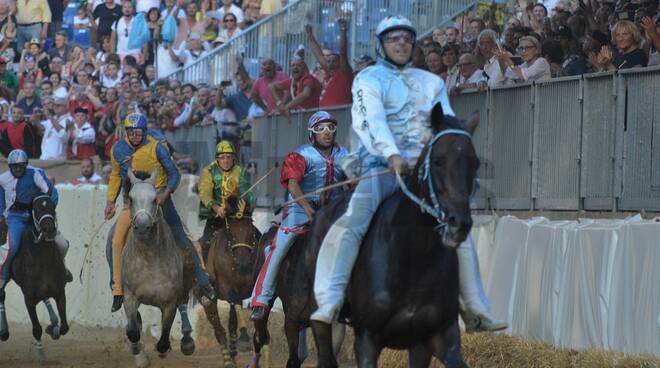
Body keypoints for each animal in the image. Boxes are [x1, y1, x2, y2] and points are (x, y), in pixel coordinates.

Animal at [0, 196, 68, 362]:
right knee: (1, 294)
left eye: (52, 207)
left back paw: (53, 320)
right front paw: (41, 354)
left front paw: (52, 328)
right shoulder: (29, 299)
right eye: (36, 209)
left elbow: (64, 327)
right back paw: (4, 331)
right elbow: (36, 328)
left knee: (45, 299)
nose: (49, 230)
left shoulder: (60, 292)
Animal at [120, 171, 195, 366]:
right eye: (131, 198)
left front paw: (163, 349)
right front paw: (139, 353)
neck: (149, 260)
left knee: (184, 306)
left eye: (155, 199)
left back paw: (187, 342)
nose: (142, 226)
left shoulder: (169, 303)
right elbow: (133, 331)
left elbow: (163, 339)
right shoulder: (129, 295)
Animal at [201, 213, 262, 368]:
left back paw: (233, 353)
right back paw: (228, 359)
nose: (243, 264)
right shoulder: (226, 289)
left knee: (231, 325)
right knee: (219, 330)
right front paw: (245, 339)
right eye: (231, 234)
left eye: (251, 232)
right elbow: (235, 301)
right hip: (209, 299)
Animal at [310, 103, 480, 368]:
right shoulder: (366, 339)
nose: (459, 223)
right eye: (439, 160)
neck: (413, 257)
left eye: (475, 163)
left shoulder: (436, 336)